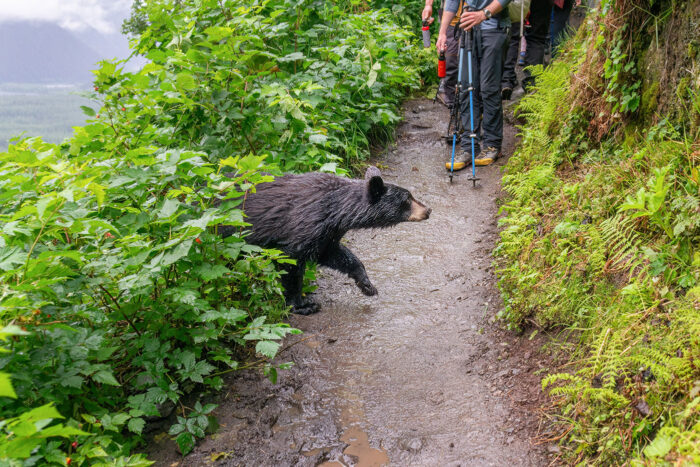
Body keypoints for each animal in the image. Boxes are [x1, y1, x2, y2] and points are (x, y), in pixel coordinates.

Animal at [220, 166, 431, 315]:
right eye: (407, 199)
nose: (428, 210)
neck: (334, 209)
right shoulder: (305, 225)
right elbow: (291, 262)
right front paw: (302, 305)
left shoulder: (326, 233)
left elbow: (336, 255)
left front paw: (367, 285)